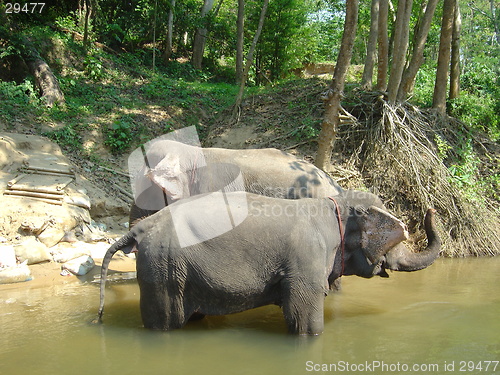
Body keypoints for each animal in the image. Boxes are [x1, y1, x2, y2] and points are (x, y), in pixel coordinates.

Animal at [97, 189, 442, 336]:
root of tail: (140, 229)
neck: (335, 204)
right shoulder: (306, 261)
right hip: (163, 269)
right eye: (399, 236)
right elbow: (305, 317)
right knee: (165, 322)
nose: (431, 209)